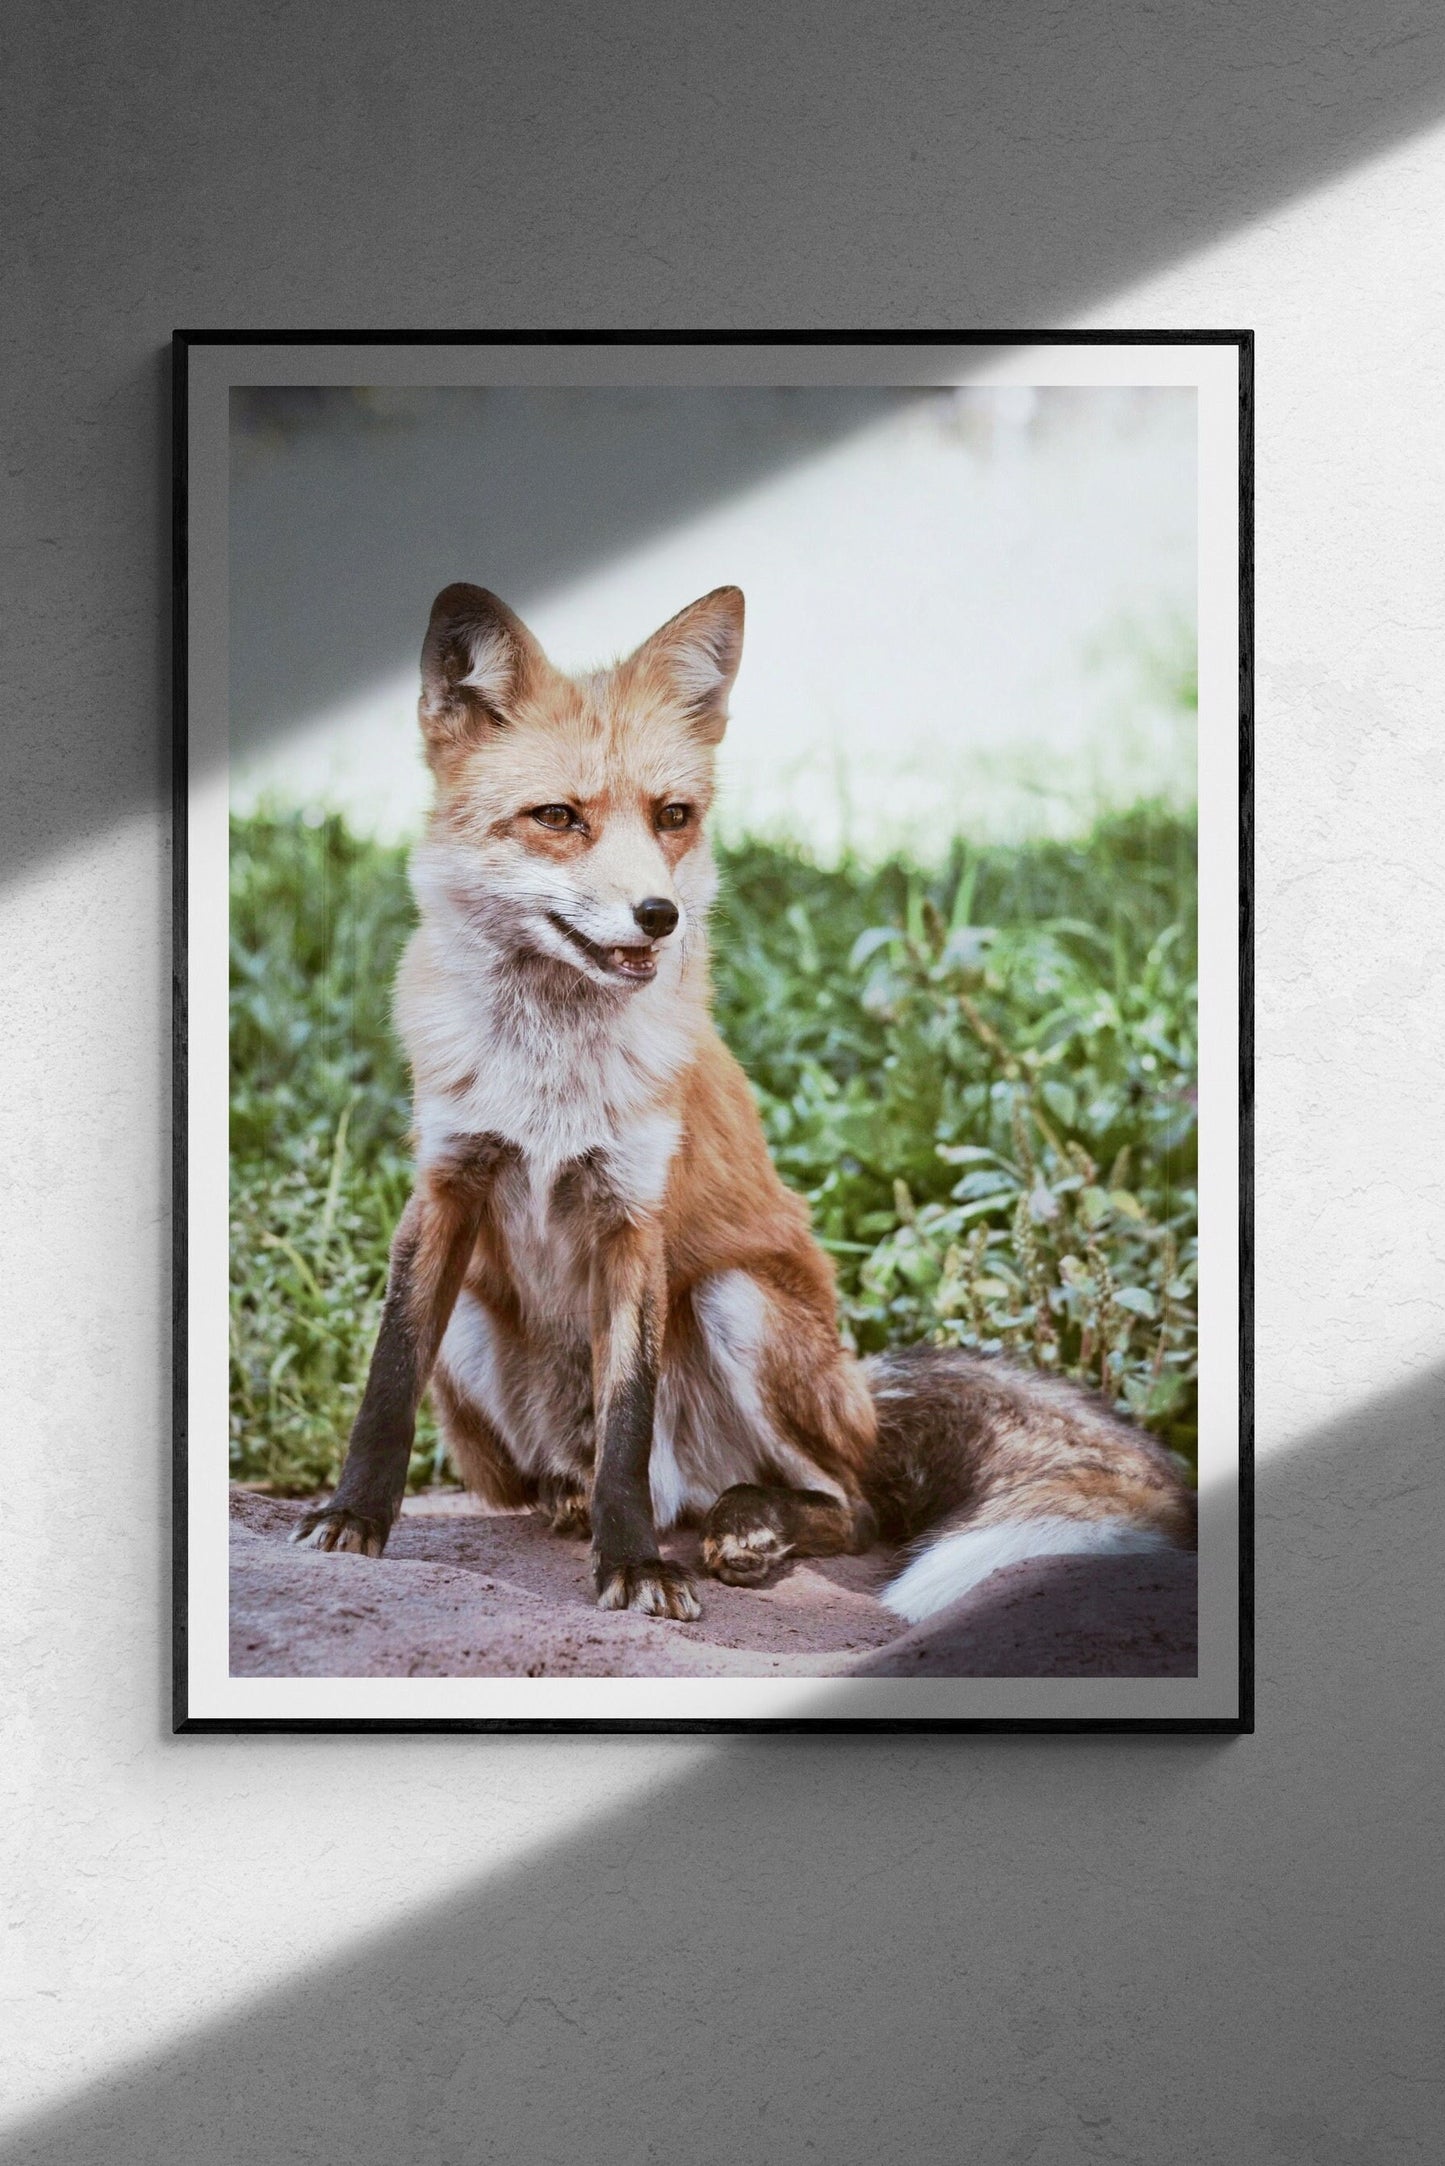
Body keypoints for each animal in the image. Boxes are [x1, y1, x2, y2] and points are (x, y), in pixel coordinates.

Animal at [294, 583, 1196, 1624]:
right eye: (558, 817)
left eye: (672, 815)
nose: (659, 915)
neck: (553, 1072)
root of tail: (862, 1394)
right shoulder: (445, 1185)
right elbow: (387, 1381)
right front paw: (352, 1517)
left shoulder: (633, 1214)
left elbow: (627, 1420)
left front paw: (635, 1568)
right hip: (479, 1326)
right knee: (573, 1474)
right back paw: (579, 1501)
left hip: (739, 1302)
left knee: (848, 1506)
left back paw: (743, 1525)